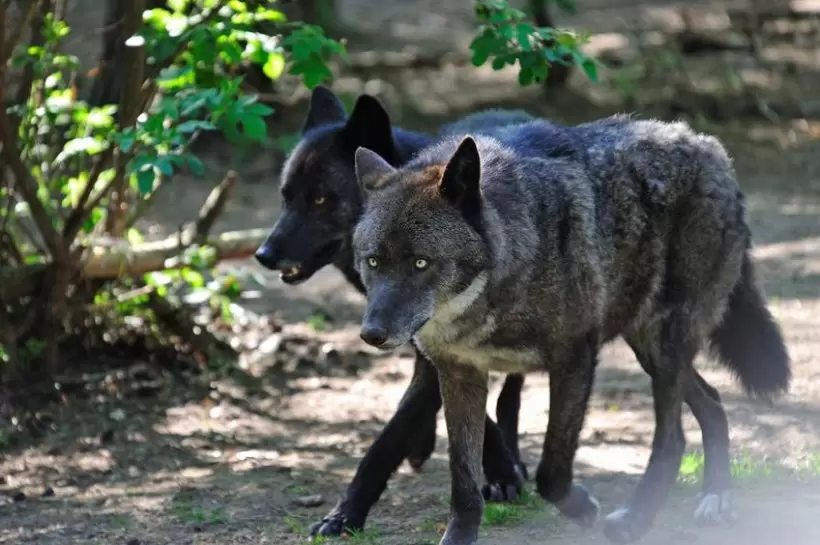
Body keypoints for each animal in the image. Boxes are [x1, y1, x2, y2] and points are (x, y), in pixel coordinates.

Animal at [258, 86, 540, 536]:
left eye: (320, 199)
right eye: (286, 197)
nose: (263, 255)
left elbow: (386, 439)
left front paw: (345, 514)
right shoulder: (431, 350)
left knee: (511, 393)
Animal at [350, 116, 788, 544]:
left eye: (420, 262)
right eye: (373, 261)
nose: (372, 334)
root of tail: (710, 147)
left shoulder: (575, 359)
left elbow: (551, 472)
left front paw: (582, 507)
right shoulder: (459, 374)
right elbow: (464, 483)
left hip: (664, 344)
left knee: (674, 437)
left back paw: (637, 518)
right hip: (648, 346)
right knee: (712, 402)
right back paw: (716, 495)